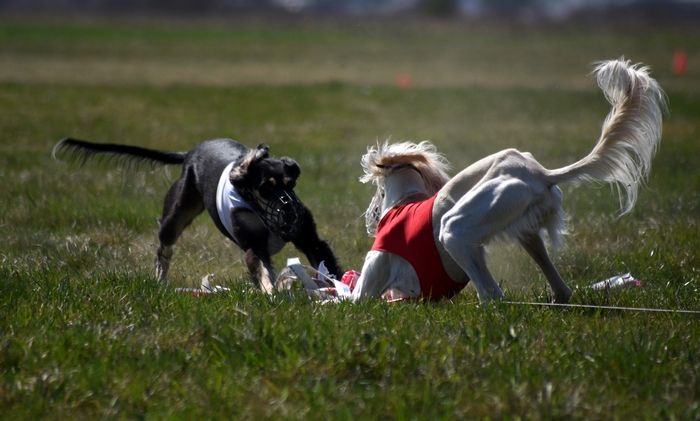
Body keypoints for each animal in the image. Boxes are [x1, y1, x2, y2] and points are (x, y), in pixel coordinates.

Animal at [52, 138, 342, 292]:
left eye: (290, 184)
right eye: (265, 187)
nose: (289, 215)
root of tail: (191, 151)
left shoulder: (308, 237)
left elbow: (325, 261)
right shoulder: (253, 244)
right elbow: (261, 269)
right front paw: (272, 293)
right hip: (178, 211)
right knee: (165, 244)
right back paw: (160, 278)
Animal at [350, 59, 668, 302]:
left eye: (377, 192)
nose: (370, 218)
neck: (404, 200)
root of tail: (540, 172)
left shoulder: (365, 291)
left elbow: (349, 299)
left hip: (457, 228)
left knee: (493, 298)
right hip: (524, 230)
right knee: (561, 289)